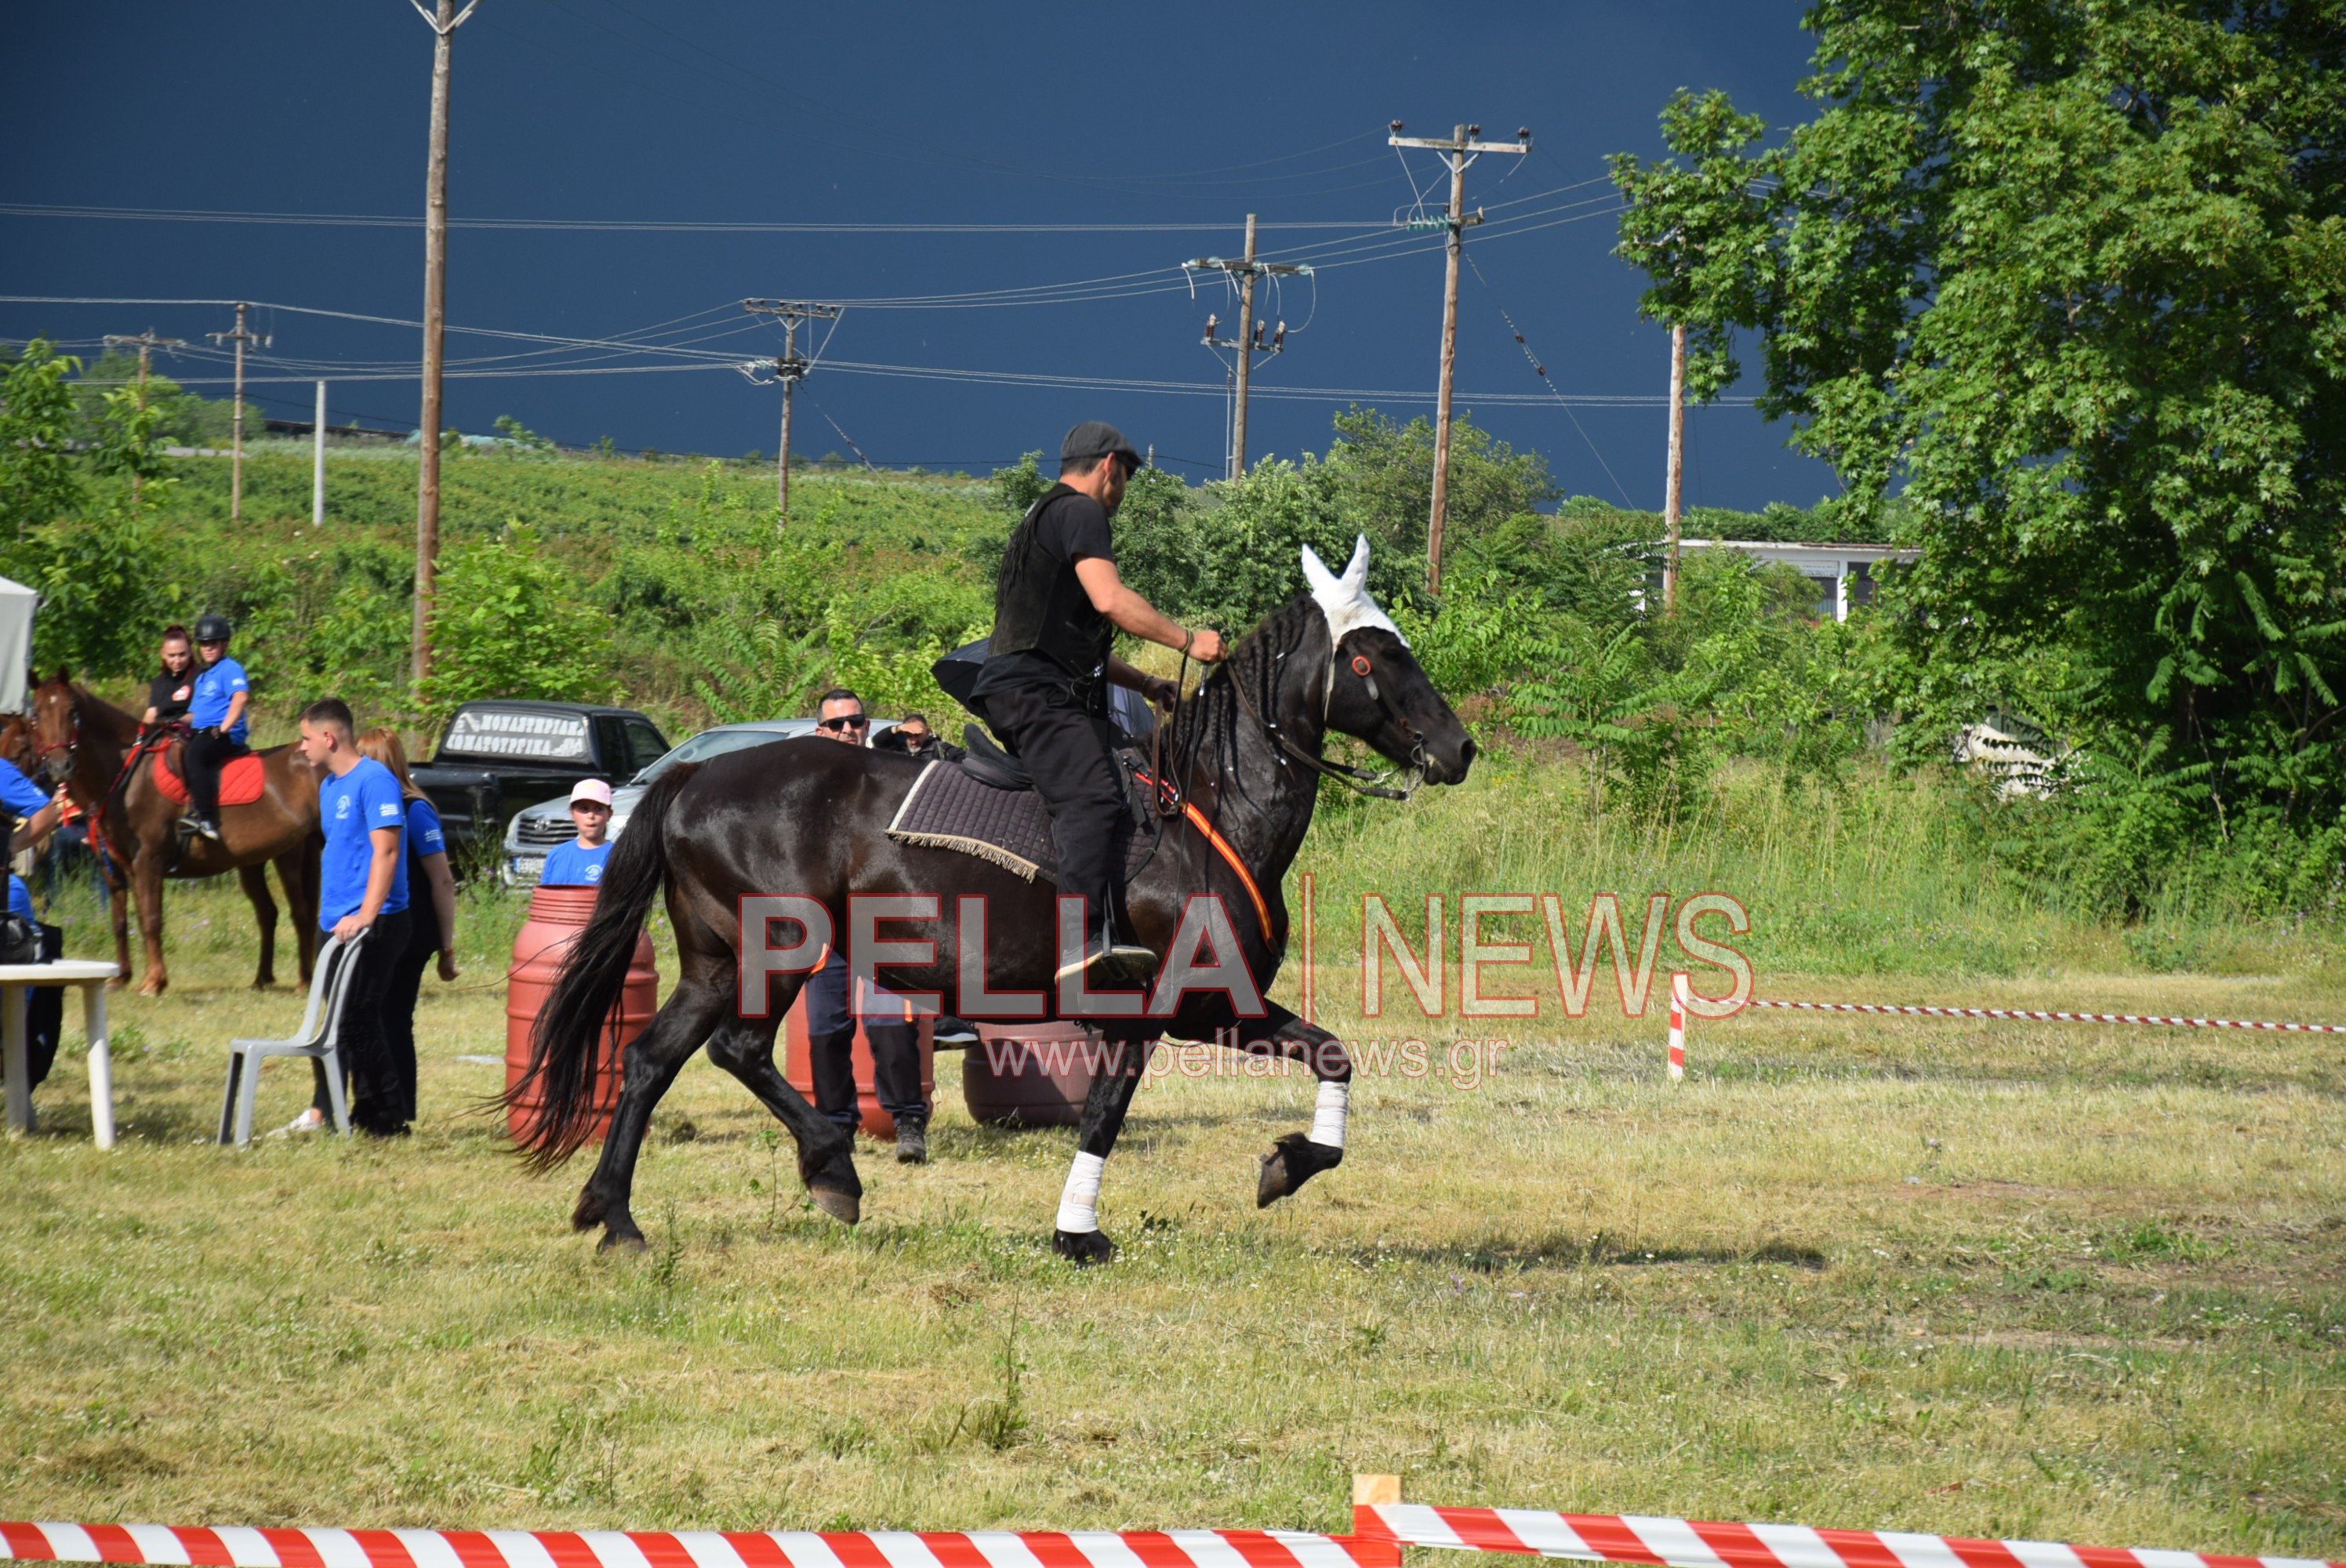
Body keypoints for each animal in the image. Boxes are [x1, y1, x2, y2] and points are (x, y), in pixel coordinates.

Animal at [31, 671, 325, 990]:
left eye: (72, 713)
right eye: (35, 715)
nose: (60, 767)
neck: (126, 776)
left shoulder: (148, 862)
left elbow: (150, 918)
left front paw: (154, 981)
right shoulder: (115, 868)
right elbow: (120, 922)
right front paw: (121, 977)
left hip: (291, 856)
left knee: (301, 913)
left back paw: (305, 981)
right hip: (254, 862)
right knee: (268, 913)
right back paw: (263, 979)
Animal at [518, 539, 1464, 1258]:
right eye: (1373, 656)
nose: (1460, 748)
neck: (1208, 808)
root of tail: (688, 777)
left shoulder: (1214, 1004)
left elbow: (1332, 1054)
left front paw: (1290, 1164)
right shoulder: (1152, 1008)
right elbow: (1103, 1117)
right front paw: (1077, 1234)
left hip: (716, 962)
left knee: (650, 1060)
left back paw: (617, 1217)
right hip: (776, 949)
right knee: (739, 1050)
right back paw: (831, 1167)